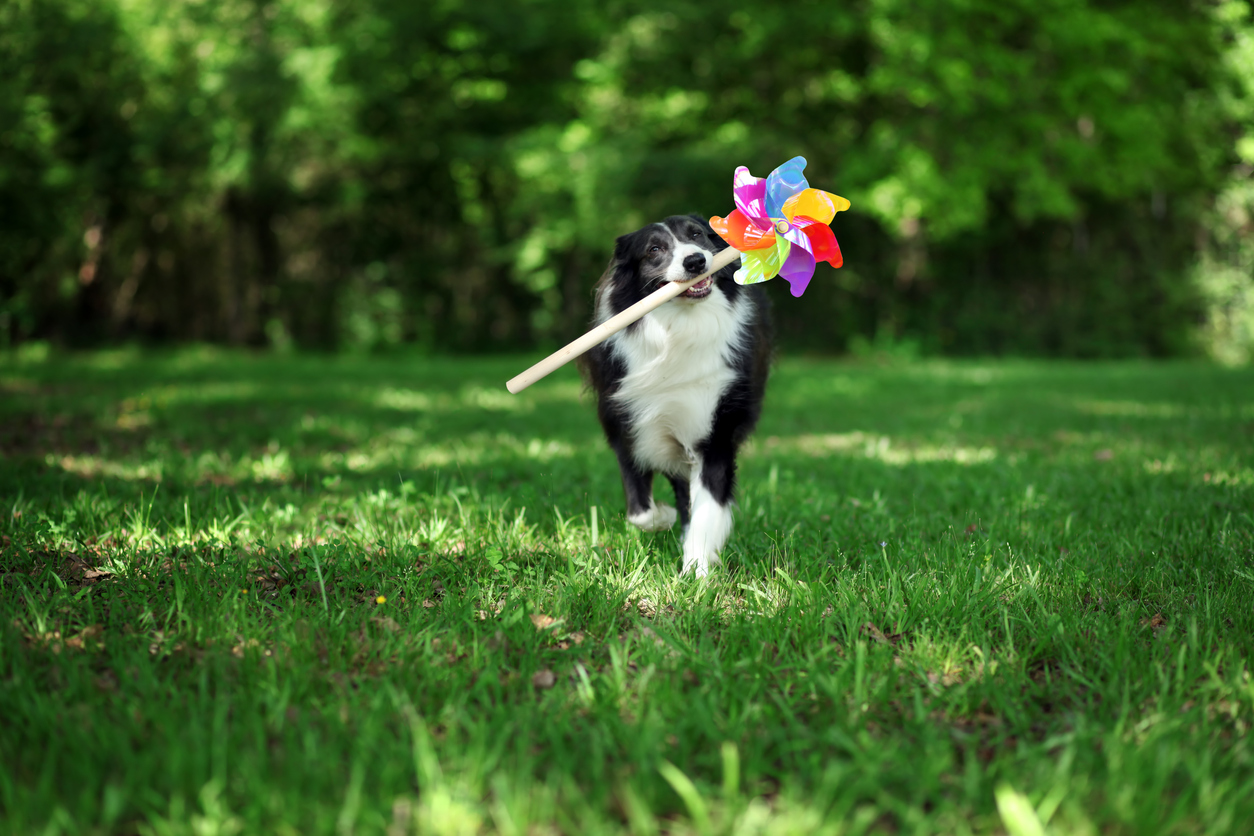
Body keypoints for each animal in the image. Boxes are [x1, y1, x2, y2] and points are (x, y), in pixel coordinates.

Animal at [579, 214, 772, 576]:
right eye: (654, 249)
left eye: (697, 235)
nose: (695, 261)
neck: (678, 328)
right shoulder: (627, 426)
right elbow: (639, 511)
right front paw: (665, 518)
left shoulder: (714, 429)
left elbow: (707, 507)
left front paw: (697, 570)